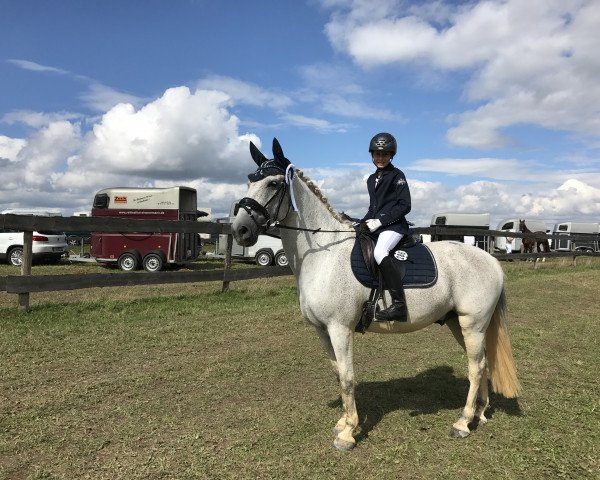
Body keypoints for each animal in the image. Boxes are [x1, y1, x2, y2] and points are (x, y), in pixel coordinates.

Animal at [231, 139, 520, 450]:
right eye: (249, 181)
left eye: (273, 183)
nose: (240, 230)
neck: (323, 253)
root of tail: (490, 260)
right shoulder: (322, 330)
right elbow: (337, 373)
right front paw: (343, 423)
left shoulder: (340, 328)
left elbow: (347, 377)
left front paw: (348, 434)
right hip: (459, 323)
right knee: (482, 363)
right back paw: (479, 412)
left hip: (472, 324)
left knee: (475, 367)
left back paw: (463, 423)